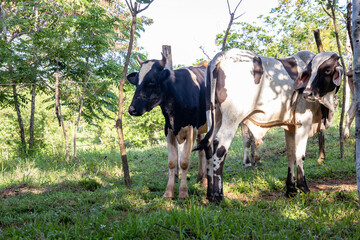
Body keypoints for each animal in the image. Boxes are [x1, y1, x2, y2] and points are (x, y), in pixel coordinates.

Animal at [126, 54, 207, 199]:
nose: (132, 109)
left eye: (151, 81)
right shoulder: (169, 130)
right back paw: (200, 179)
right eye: (135, 82)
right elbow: (172, 162)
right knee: (202, 151)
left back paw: (205, 181)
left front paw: (183, 192)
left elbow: (184, 162)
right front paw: (168, 192)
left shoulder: (191, 130)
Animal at [195, 49, 342, 201]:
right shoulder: (303, 122)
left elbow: (290, 155)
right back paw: (218, 195)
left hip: (215, 117)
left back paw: (209, 194)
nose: (307, 93)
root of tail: (224, 54)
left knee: (209, 146)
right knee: (220, 148)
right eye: (310, 71)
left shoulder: (290, 127)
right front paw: (303, 187)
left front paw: (291, 189)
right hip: (232, 119)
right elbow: (300, 155)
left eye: (327, 70)